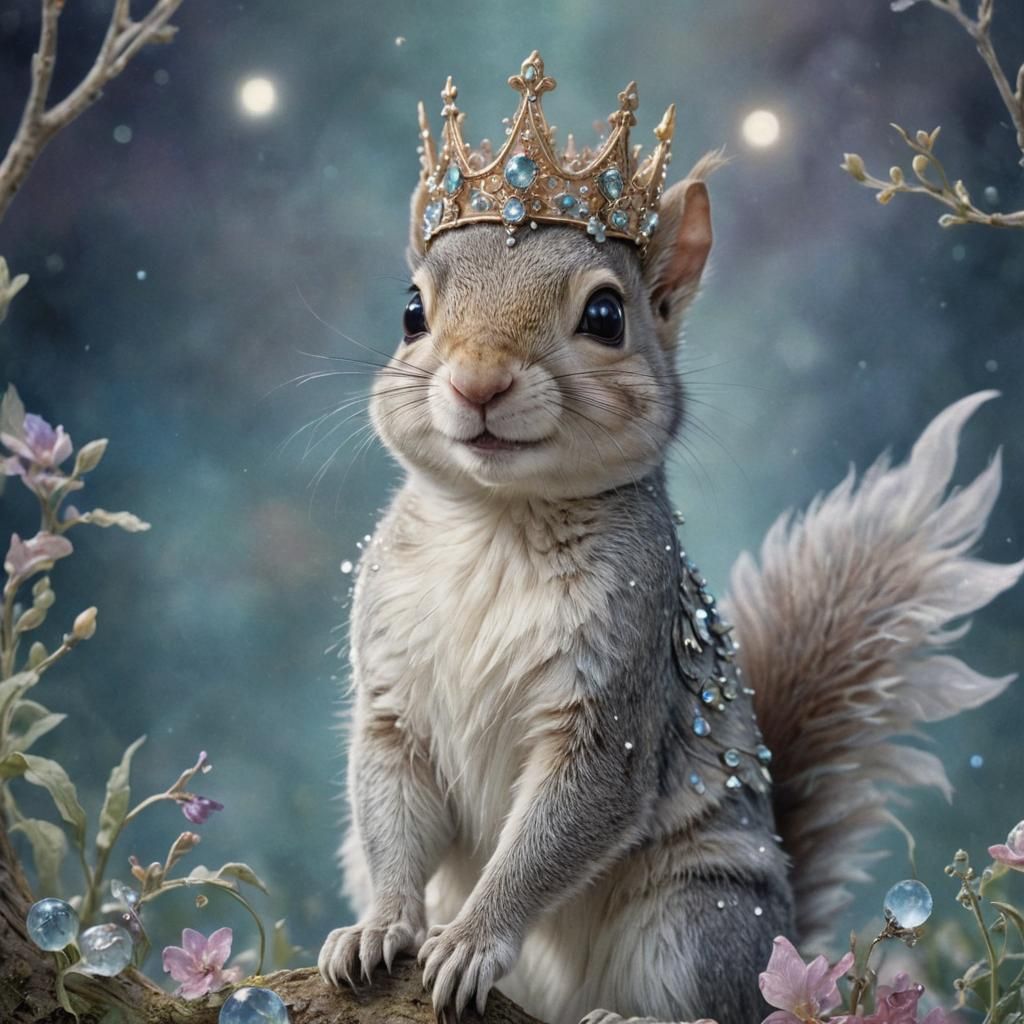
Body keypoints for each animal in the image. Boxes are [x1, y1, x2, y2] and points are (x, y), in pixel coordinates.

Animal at [317, 54, 1022, 1024]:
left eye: (606, 316)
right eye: (412, 313)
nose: (478, 383)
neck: (499, 521)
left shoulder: (616, 691)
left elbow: (558, 830)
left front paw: (469, 938)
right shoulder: (392, 690)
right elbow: (389, 810)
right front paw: (381, 925)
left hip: (698, 915)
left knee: (719, 1003)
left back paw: (621, 1014)